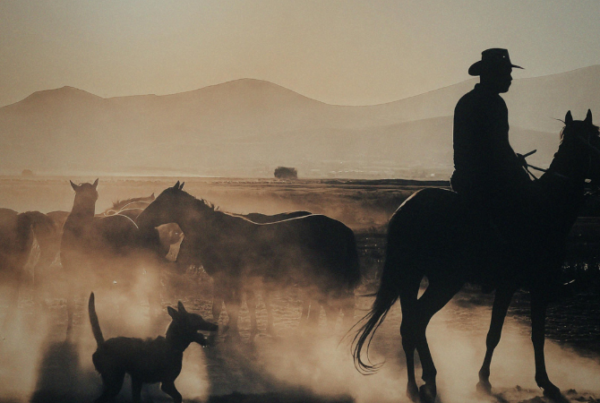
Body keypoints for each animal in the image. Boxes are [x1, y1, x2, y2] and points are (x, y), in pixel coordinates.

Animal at [137, 185, 360, 336]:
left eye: (163, 201)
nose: (141, 218)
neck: (217, 230)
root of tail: (343, 228)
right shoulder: (228, 280)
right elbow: (226, 306)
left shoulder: (227, 278)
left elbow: (230, 306)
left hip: (327, 282)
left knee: (333, 309)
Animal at [354, 110, 600, 403]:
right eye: (598, 136)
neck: (547, 207)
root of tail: (405, 209)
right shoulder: (536, 286)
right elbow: (535, 335)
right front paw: (545, 382)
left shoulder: (508, 286)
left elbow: (494, 333)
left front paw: (484, 380)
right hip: (445, 281)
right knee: (417, 321)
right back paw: (429, 381)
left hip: (412, 278)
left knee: (409, 325)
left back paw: (414, 386)